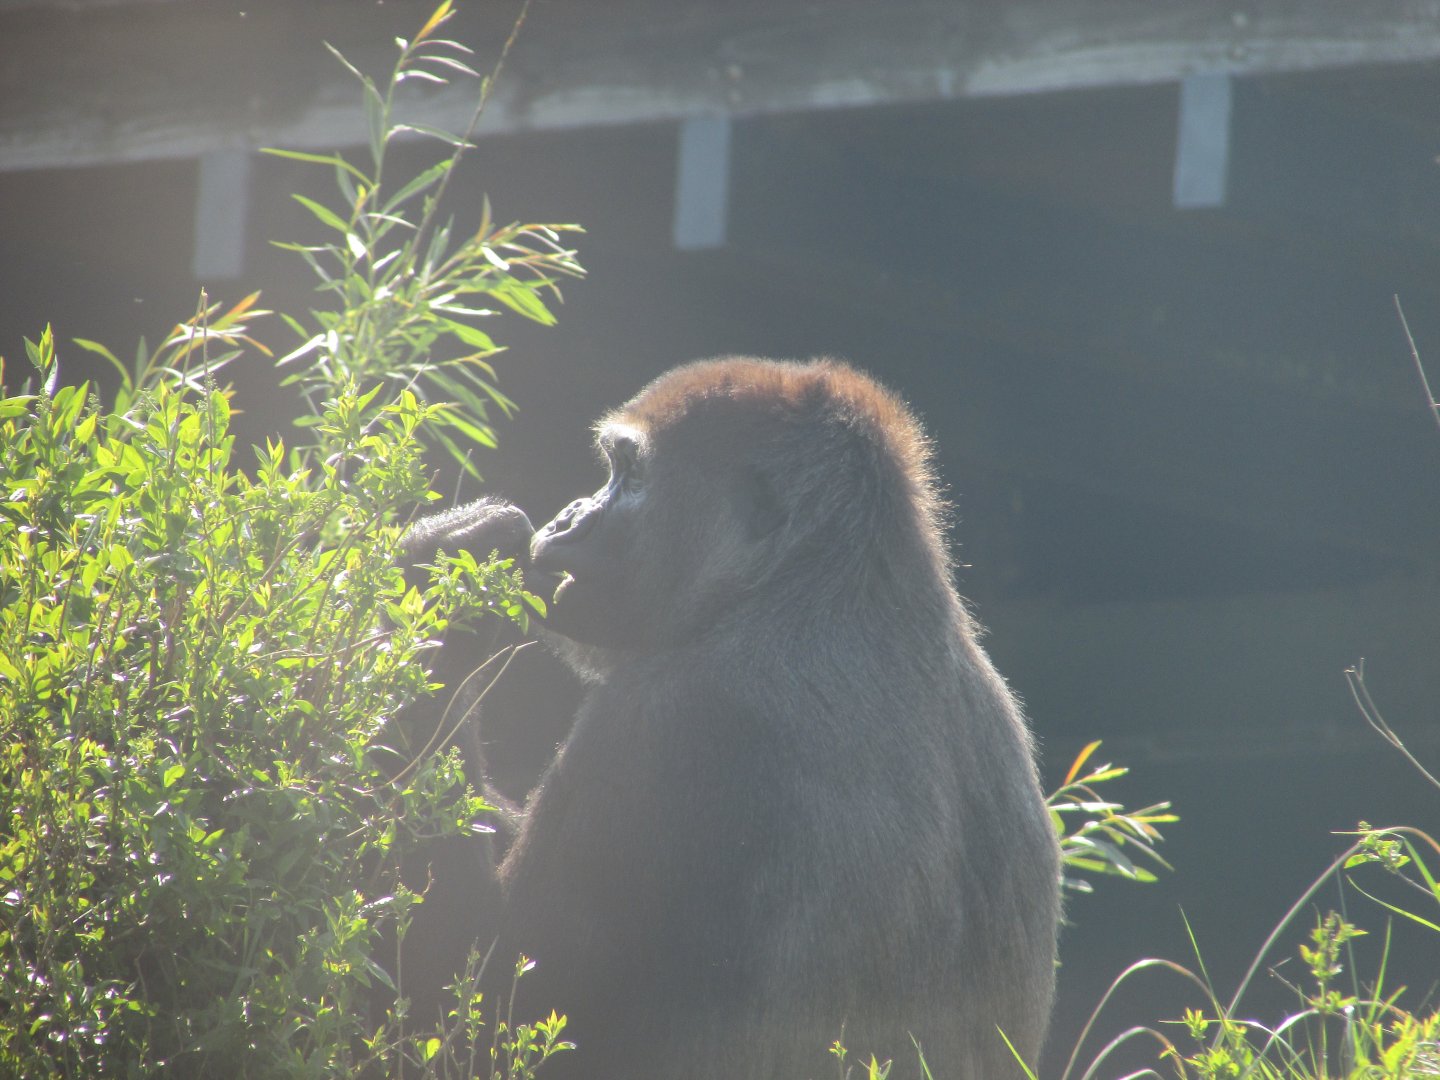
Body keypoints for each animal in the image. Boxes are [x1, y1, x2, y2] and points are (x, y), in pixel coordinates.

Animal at [411, 357, 1061, 1079]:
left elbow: (478, 1005)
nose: (569, 519)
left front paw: (436, 576)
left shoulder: (658, 722)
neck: (808, 583)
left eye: (632, 474)